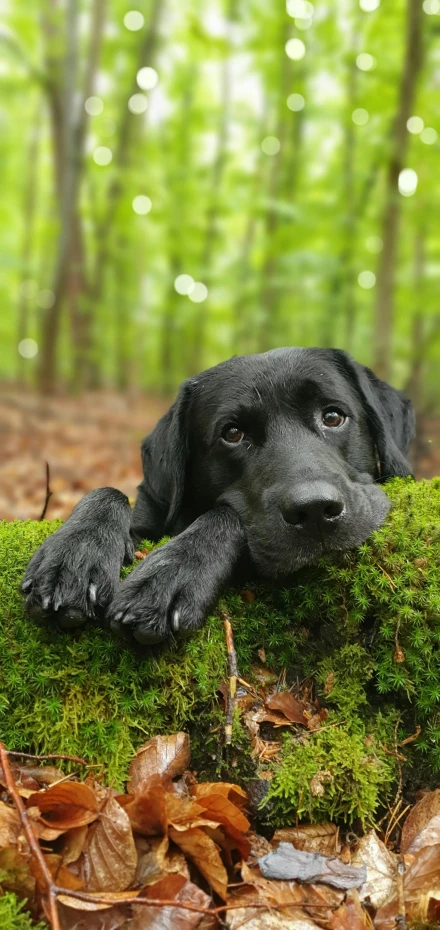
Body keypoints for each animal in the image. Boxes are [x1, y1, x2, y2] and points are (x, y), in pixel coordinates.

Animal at [20, 344, 414, 640]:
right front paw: (75, 555)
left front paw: (171, 573)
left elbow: (223, 513)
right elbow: (107, 492)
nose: (314, 509)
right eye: (233, 433)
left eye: (333, 417)